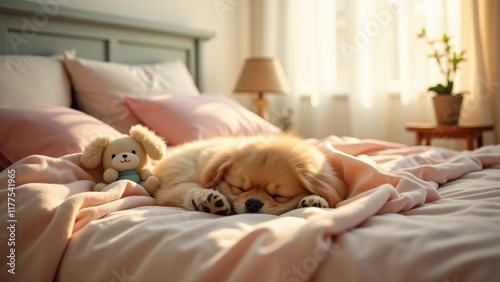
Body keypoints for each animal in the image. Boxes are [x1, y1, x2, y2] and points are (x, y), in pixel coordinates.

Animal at [154, 133, 346, 215]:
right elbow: (191, 189)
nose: (253, 203)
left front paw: (315, 201)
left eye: (278, 196)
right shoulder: (172, 188)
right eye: (239, 188)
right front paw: (206, 199)